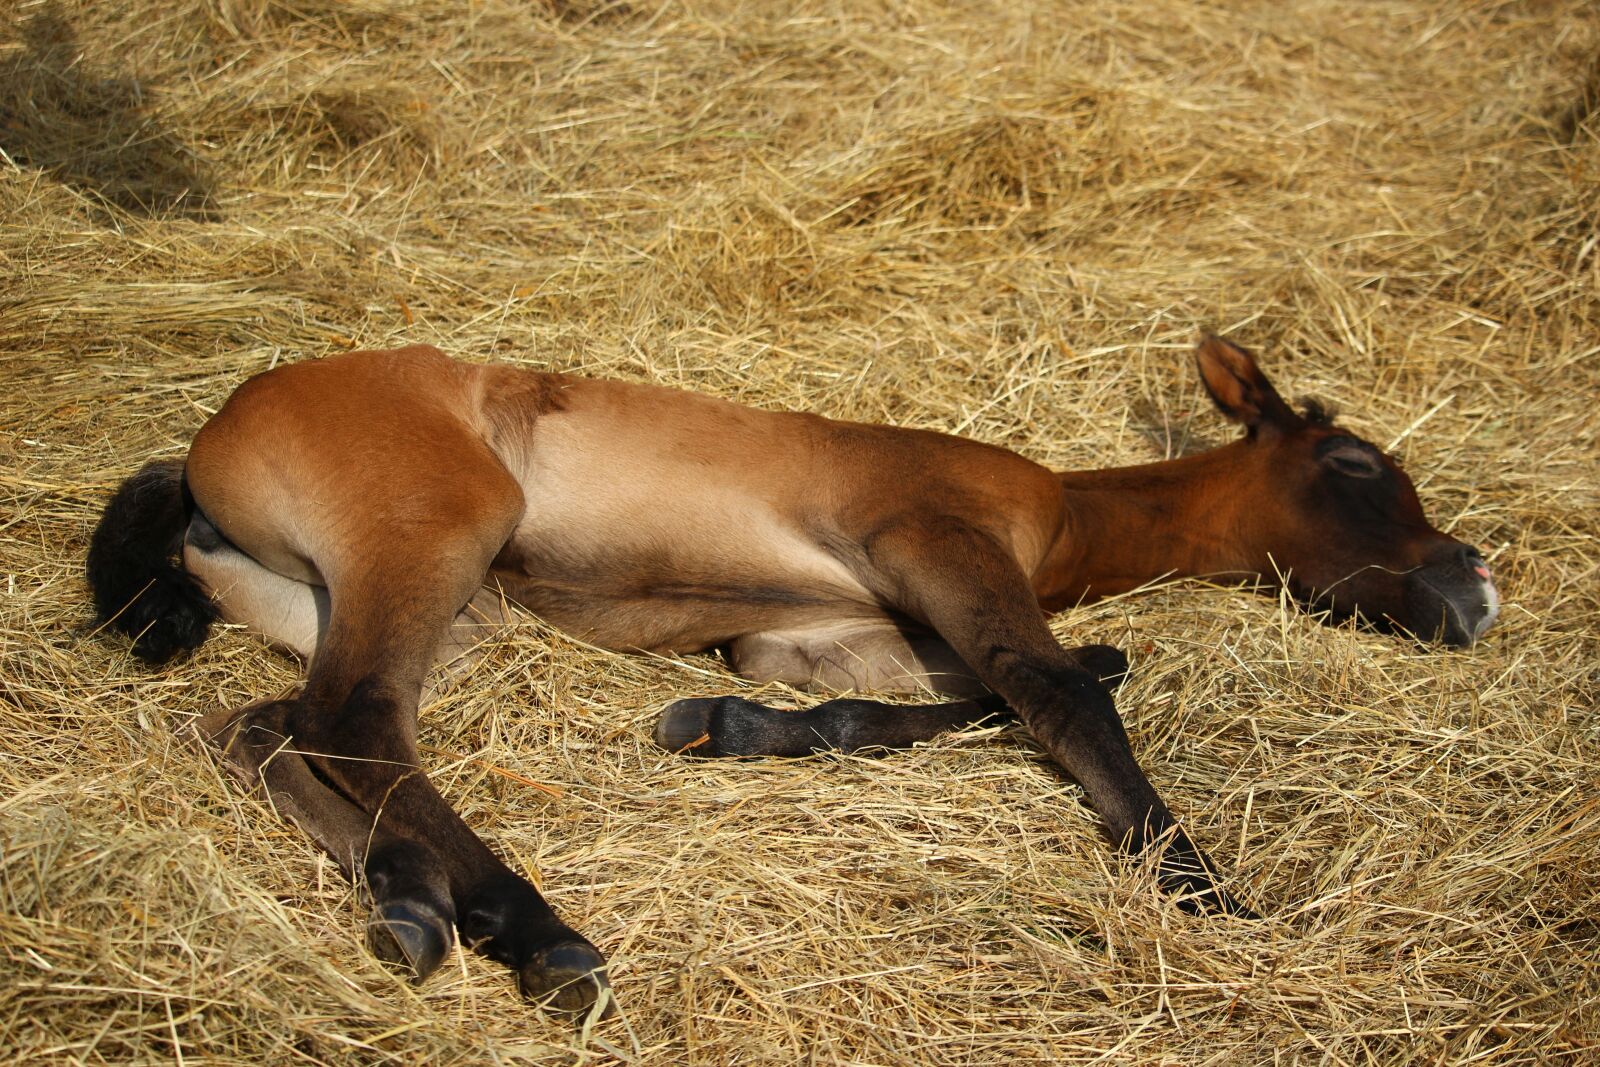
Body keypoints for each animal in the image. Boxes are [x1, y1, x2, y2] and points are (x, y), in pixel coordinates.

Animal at [86, 334, 1498, 1016]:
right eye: (1356, 465)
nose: (1470, 582)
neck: (1070, 519)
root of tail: (204, 445)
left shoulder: (825, 631)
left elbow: (919, 698)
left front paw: (722, 723)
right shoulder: (935, 535)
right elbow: (1059, 693)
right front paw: (1208, 891)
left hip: (383, 602)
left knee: (268, 724)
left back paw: (411, 899)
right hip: (436, 530)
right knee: (352, 716)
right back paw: (531, 928)